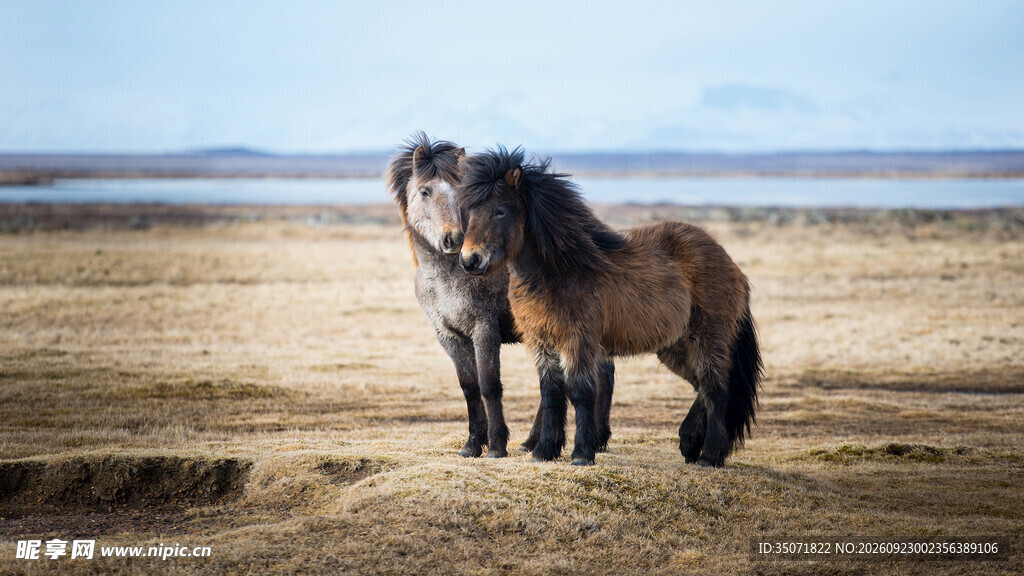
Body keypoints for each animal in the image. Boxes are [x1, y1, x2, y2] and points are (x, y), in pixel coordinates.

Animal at [384, 133, 617, 457]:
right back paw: (533, 442)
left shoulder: (484, 328)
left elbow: (489, 384)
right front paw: (472, 444)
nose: (454, 238)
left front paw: (495, 444)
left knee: (600, 373)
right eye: (425, 191)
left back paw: (595, 439)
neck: (447, 277)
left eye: (461, 193)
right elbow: (469, 386)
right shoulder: (447, 335)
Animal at [456, 146, 763, 467]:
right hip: (675, 346)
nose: (470, 260)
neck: (561, 269)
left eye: (501, 210)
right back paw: (689, 443)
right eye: (470, 211)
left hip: (707, 338)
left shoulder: (578, 340)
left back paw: (709, 455)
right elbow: (551, 393)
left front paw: (581, 454)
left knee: (716, 390)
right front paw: (544, 451)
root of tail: (731, 264)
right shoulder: (541, 341)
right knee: (701, 386)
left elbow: (580, 392)